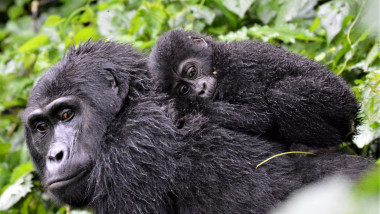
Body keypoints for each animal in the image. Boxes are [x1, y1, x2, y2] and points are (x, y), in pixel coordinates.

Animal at [149, 30, 360, 150]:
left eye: (191, 71)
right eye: (183, 89)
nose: (200, 90)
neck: (219, 62)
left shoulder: (240, 66)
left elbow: (259, 116)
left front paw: (182, 107)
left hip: (337, 100)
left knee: (283, 94)